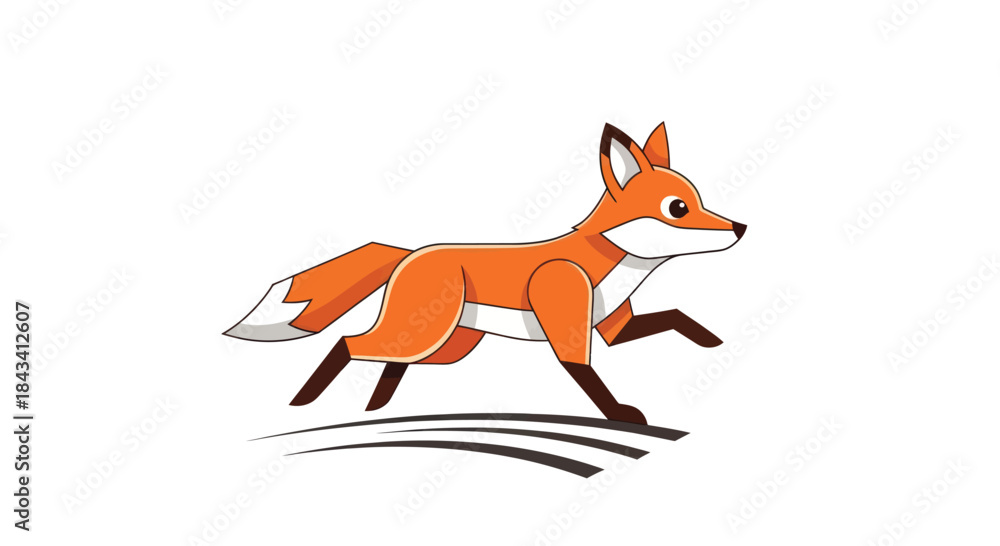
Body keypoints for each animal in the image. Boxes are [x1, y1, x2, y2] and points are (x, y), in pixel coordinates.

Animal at [225, 123, 746, 425]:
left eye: (699, 200)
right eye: (677, 208)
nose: (740, 228)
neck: (613, 264)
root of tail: (410, 253)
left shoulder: (614, 325)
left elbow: (676, 317)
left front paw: (710, 340)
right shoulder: (567, 321)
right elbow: (586, 374)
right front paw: (620, 413)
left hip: (447, 345)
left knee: (390, 360)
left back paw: (378, 406)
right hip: (428, 334)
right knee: (349, 344)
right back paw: (304, 403)